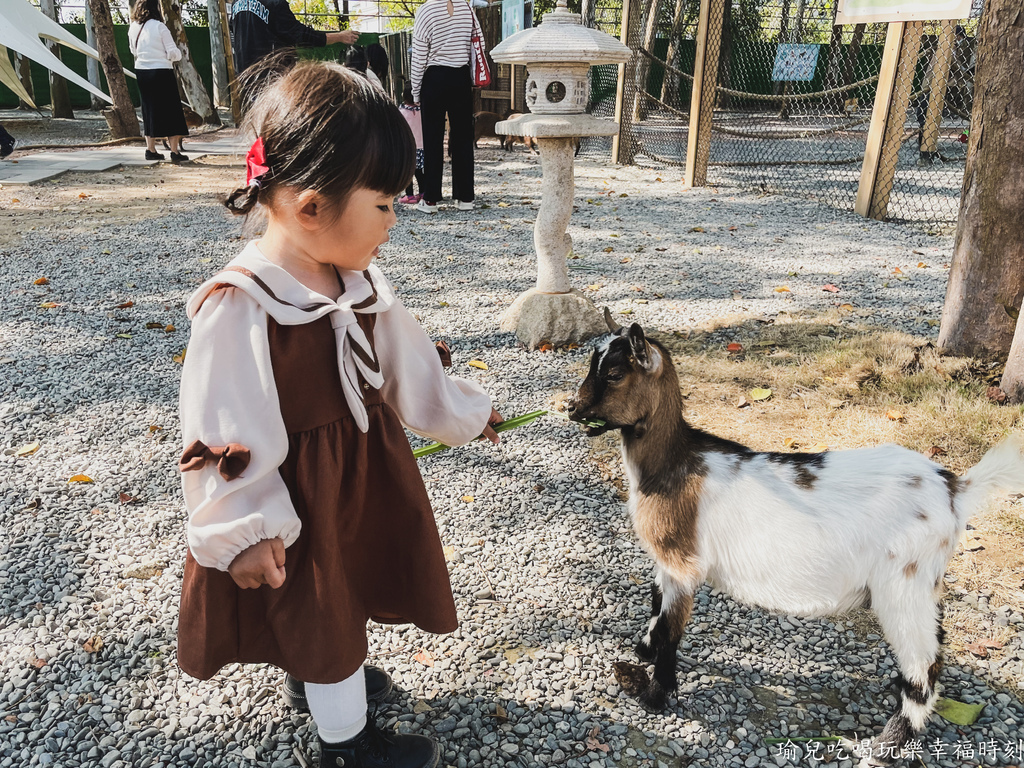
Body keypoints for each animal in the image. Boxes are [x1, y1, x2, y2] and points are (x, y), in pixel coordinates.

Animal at [569, 321, 1024, 761]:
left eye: (614, 374)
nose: (572, 408)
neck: (673, 466)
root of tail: (956, 488)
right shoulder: (667, 562)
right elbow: (655, 603)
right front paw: (642, 650)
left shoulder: (683, 563)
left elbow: (670, 630)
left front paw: (655, 695)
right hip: (925, 582)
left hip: (903, 583)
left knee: (925, 666)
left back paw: (883, 746)